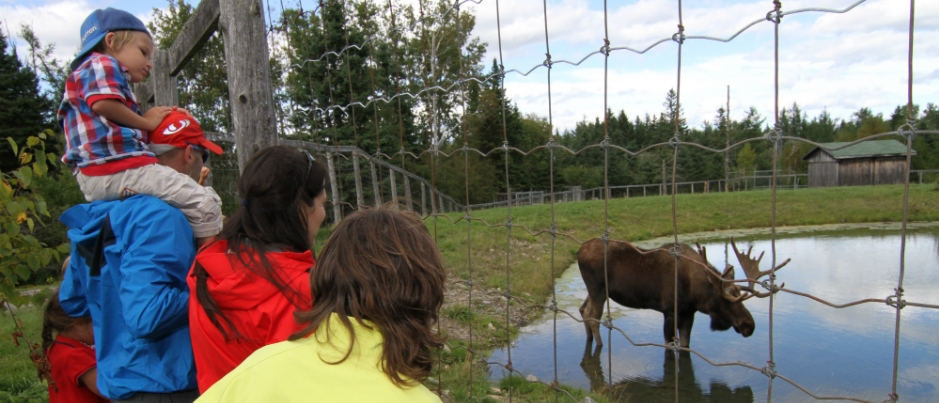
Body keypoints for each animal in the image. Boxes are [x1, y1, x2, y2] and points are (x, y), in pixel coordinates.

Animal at [580, 238, 784, 348]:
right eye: (726, 300)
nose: (749, 325)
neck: (696, 293)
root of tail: (579, 250)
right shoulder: (670, 311)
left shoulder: (688, 313)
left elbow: (685, 346)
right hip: (598, 290)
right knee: (592, 316)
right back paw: (600, 345)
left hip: (595, 291)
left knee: (583, 309)